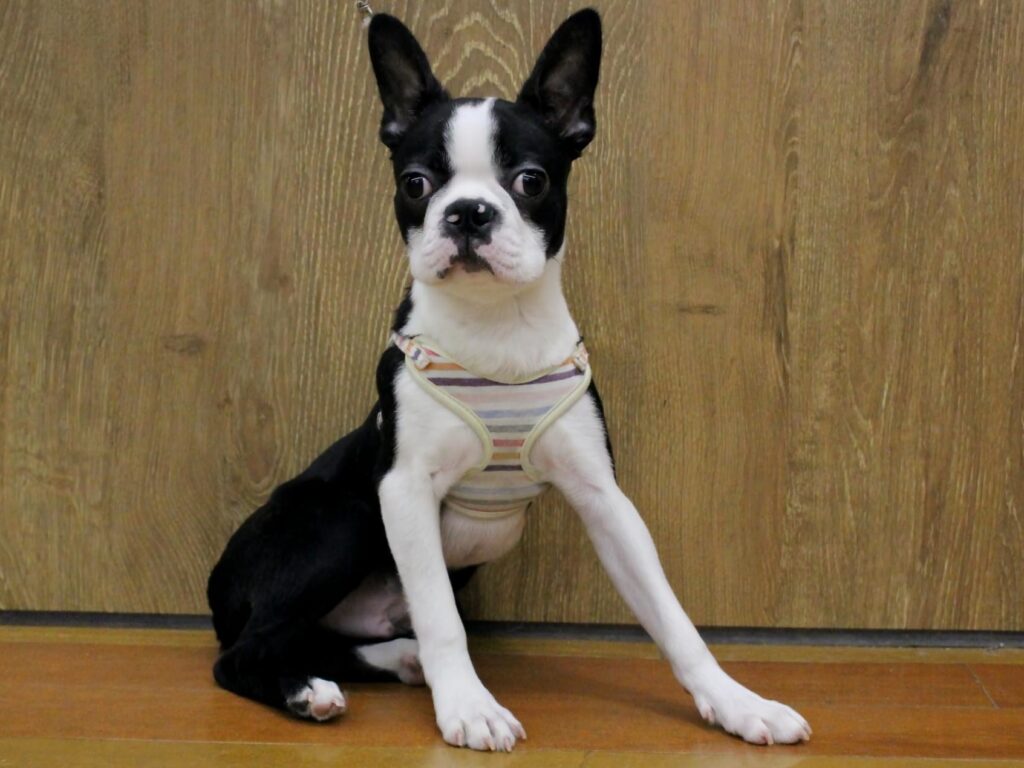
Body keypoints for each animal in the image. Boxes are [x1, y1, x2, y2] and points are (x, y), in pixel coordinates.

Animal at [207, 9, 812, 752]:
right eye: (416, 183)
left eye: (530, 180)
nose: (468, 211)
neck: (496, 331)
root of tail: (216, 586)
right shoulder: (402, 490)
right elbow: (443, 618)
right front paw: (469, 706)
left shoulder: (605, 499)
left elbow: (673, 619)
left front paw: (735, 701)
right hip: (341, 518)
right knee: (247, 650)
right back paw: (307, 691)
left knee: (315, 638)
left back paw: (394, 659)